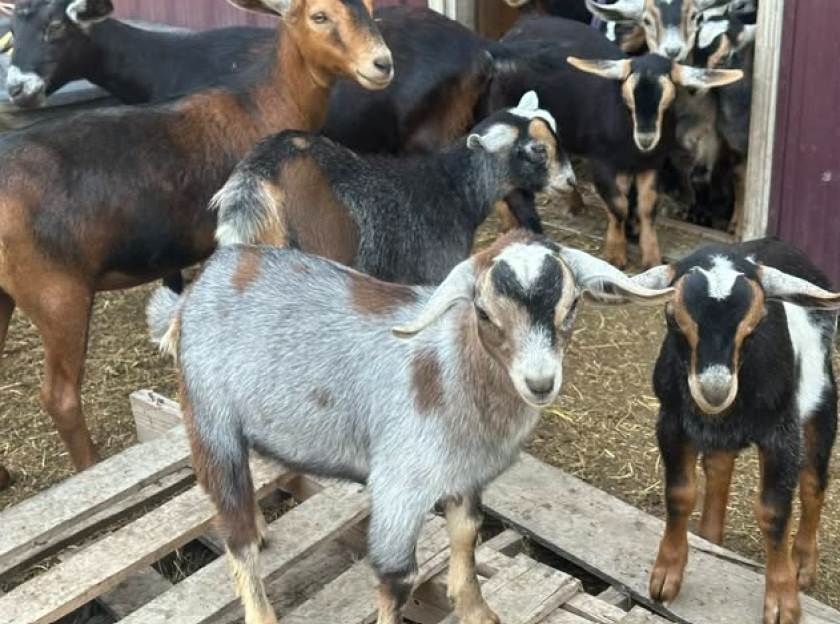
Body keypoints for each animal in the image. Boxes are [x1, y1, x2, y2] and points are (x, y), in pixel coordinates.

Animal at [0, 0, 390, 476]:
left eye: (369, 9)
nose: (382, 64)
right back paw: (92, 467)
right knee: (60, 397)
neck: (262, 102)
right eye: (319, 16)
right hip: (56, 291)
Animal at [147, 230, 675, 624]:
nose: (540, 382)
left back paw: (260, 529)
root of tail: (201, 285)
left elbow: (467, 536)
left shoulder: (465, 476)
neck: (450, 370)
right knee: (233, 531)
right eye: (484, 312)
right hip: (210, 417)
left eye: (572, 307)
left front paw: (477, 610)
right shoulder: (399, 486)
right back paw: (258, 600)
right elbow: (398, 577)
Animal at [482, 16, 742, 268]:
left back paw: (574, 203)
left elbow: (647, 207)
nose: (646, 138)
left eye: (668, 100)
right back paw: (510, 223)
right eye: (628, 99)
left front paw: (651, 255)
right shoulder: (603, 163)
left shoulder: (652, 165)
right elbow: (619, 205)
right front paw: (616, 253)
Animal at [633, 238, 840, 624]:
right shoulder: (671, 420)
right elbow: (680, 493)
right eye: (672, 317)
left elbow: (774, 511)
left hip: (822, 401)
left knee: (813, 483)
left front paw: (783, 600)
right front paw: (667, 574)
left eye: (758, 321)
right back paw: (710, 537)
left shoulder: (781, 433)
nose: (715, 390)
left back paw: (804, 563)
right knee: (719, 467)